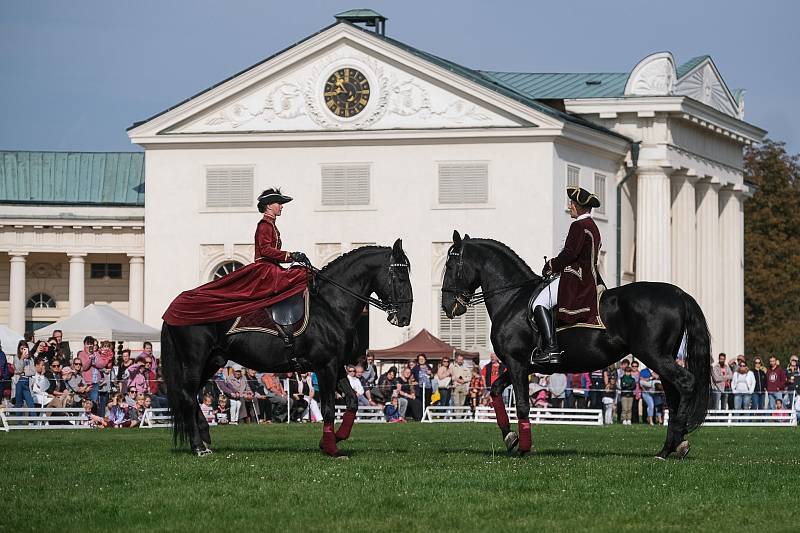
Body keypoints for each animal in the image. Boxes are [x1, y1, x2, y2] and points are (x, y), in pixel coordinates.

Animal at [162, 239, 412, 456]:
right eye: (400, 276)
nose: (405, 318)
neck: (330, 306)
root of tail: (173, 308)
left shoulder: (337, 365)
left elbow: (351, 402)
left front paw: (331, 440)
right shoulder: (326, 367)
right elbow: (329, 408)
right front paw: (331, 449)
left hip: (213, 360)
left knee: (190, 394)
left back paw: (205, 438)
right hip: (194, 360)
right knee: (187, 395)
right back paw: (198, 447)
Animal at [440, 231, 708, 460]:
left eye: (450, 266)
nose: (447, 305)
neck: (513, 298)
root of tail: (678, 293)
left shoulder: (517, 363)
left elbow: (523, 405)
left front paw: (523, 448)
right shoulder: (523, 365)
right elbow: (495, 390)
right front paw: (510, 438)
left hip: (654, 355)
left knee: (685, 383)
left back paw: (670, 447)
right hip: (663, 357)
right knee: (673, 393)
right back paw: (674, 446)